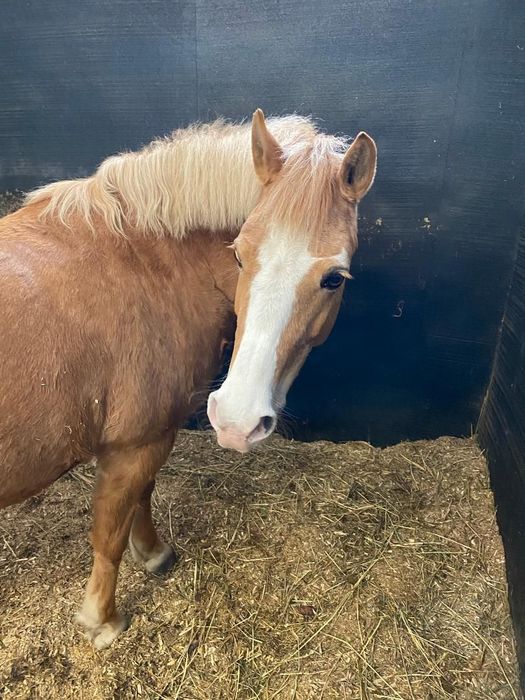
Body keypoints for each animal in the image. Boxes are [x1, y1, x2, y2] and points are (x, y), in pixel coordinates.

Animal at [0, 110, 376, 648]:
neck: (145, 261)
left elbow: (142, 498)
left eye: (333, 279)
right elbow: (110, 532)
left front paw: (153, 554)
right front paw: (103, 620)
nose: (237, 421)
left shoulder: (146, 441)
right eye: (238, 254)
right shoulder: (135, 443)